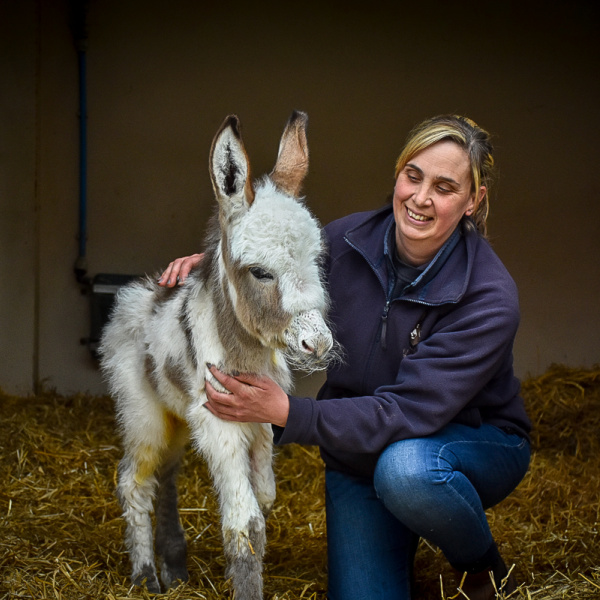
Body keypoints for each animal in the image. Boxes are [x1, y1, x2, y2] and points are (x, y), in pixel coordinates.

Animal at [99, 110, 332, 596]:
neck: (248, 354)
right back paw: (146, 576)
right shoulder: (218, 422)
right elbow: (246, 525)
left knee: (166, 473)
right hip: (143, 413)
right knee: (135, 481)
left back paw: (174, 564)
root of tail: (137, 294)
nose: (318, 345)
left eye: (318, 260)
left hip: (177, 415)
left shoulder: (259, 421)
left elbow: (265, 497)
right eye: (260, 272)